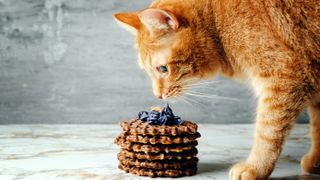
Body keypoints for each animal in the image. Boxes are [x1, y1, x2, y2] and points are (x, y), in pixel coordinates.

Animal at [114, 0, 318, 179]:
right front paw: (316, 161)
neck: (218, 26)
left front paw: (255, 168)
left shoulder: (283, 77)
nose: (158, 95)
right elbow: (317, 127)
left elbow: (267, 132)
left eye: (163, 69)